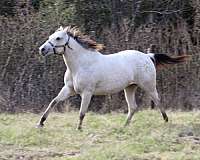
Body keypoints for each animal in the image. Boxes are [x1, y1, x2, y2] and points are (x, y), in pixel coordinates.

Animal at [36, 25, 188, 129]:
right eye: (50, 37)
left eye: (58, 38)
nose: (42, 49)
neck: (80, 64)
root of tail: (148, 56)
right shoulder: (68, 89)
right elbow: (54, 102)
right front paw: (40, 123)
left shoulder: (87, 92)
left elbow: (81, 112)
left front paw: (78, 129)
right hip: (130, 88)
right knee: (133, 107)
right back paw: (124, 126)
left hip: (148, 86)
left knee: (157, 101)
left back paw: (166, 121)